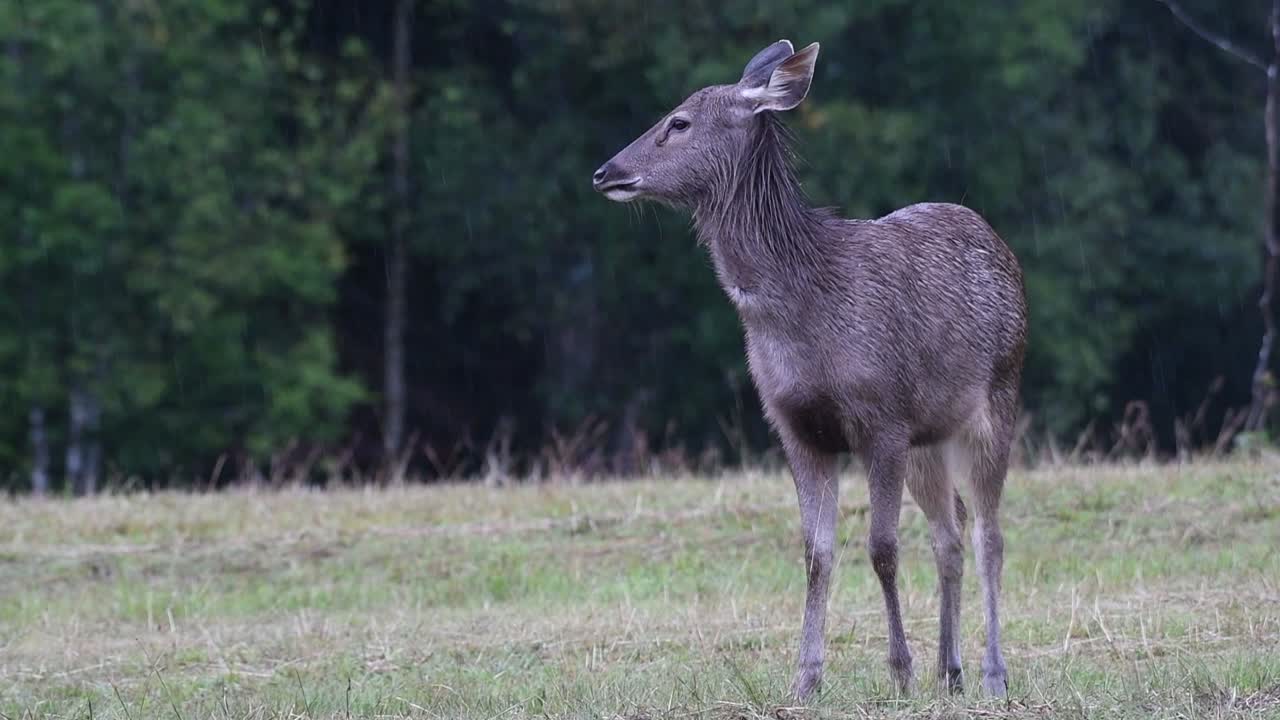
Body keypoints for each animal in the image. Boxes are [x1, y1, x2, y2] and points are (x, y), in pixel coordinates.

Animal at [592, 40, 1027, 700]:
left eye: (679, 122)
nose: (605, 171)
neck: (799, 315)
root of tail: (999, 242)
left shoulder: (882, 418)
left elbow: (881, 546)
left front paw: (899, 671)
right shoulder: (795, 427)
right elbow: (816, 552)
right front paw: (805, 678)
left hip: (998, 394)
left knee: (989, 535)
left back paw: (992, 673)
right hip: (930, 432)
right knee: (949, 533)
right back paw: (949, 670)